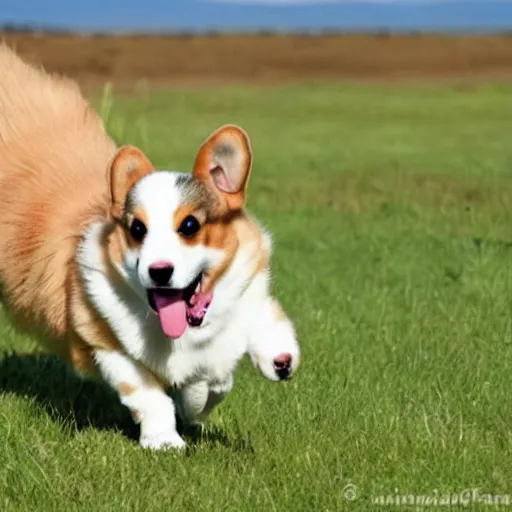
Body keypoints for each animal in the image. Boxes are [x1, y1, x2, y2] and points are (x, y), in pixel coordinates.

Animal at [0, 46, 300, 450]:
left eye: (190, 226)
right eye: (137, 229)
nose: (159, 272)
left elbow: (238, 342)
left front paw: (274, 357)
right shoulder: (104, 344)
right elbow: (151, 395)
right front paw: (165, 441)